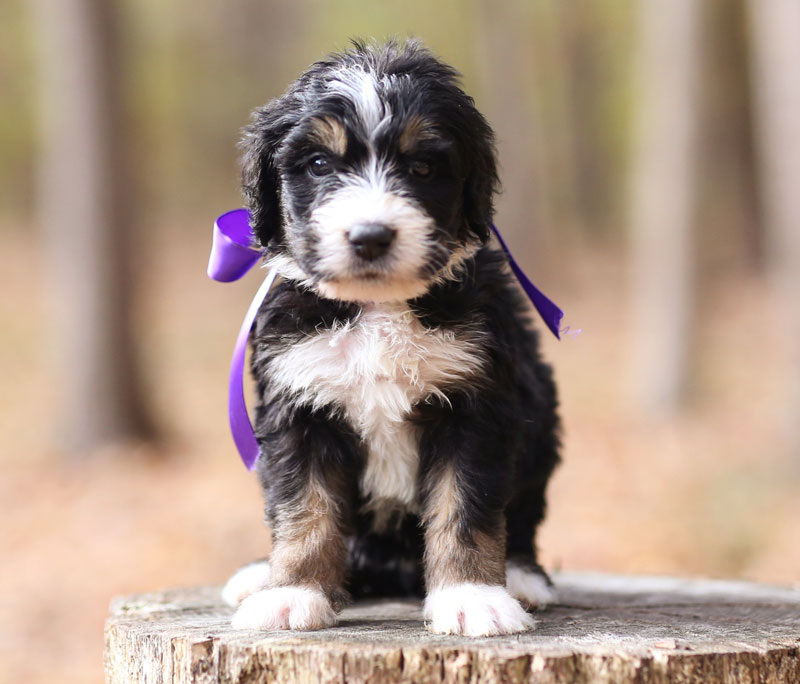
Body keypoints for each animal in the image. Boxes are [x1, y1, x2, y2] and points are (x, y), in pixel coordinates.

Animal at [222, 37, 560, 636]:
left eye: (423, 166)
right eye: (318, 164)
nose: (370, 235)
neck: (379, 307)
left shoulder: (475, 406)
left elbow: (465, 506)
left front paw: (473, 596)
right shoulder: (298, 406)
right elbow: (304, 508)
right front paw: (291, 593)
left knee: (521, 522)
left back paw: (522, 577)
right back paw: (260, 574)